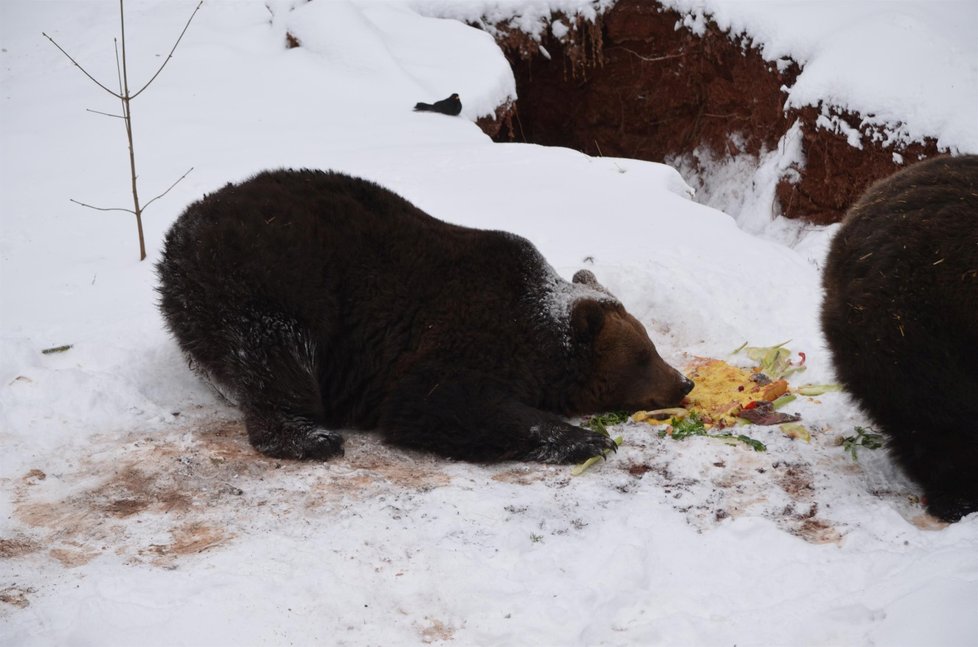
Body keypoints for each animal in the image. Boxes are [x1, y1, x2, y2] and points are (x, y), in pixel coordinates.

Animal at [156, 171, 692, 466]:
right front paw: (588, 439)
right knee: (277, 355)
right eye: (644, 354)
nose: (684, 382)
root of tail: (177, 233)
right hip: (265, 282)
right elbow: (436, 401)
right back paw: (310, 437)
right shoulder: (462, 333)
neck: (536, 336)